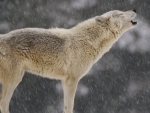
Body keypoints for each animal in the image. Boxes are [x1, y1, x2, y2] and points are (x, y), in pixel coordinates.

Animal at [0, 9, 137, 113]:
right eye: (120, 13)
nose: (134, 9)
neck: (88, 41)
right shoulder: (72, 80)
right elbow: (69, 106)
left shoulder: (65, 80)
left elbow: (66, 107)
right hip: (14, 79)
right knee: (3, 104)